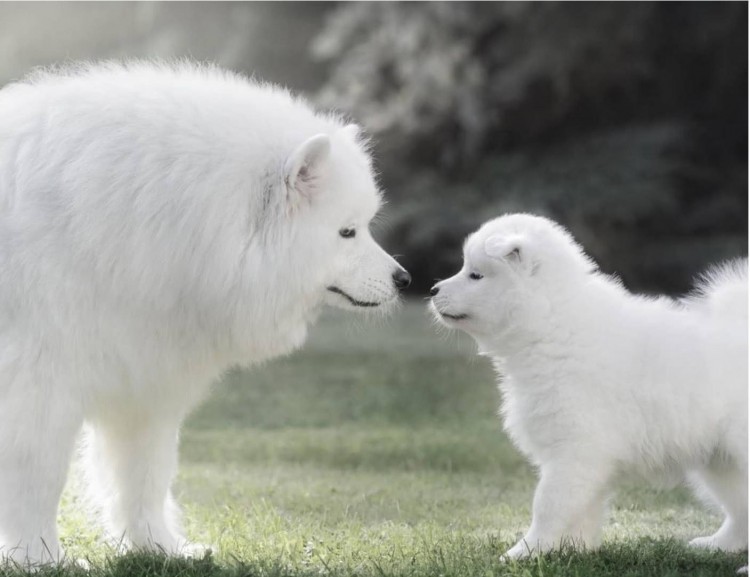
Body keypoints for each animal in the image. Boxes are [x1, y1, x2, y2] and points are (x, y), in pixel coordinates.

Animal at [0, 62, 412, 564]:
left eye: (364, 227)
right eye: (347, 232)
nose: (404, 279)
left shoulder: (142, 383)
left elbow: (145, 477)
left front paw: (160, 547)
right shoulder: (37, 386)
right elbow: (38, 478)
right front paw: (39, 559)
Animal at [432, 213, 748, 560]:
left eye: (475, 275)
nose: (432, 290)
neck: (552, 324)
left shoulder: (575, 449)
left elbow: (548, 504)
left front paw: (524, 552)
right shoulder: (583, 457)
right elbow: (583, 508)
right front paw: (574, 550)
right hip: (720, 460)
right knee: (739, 508)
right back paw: (718, 545)